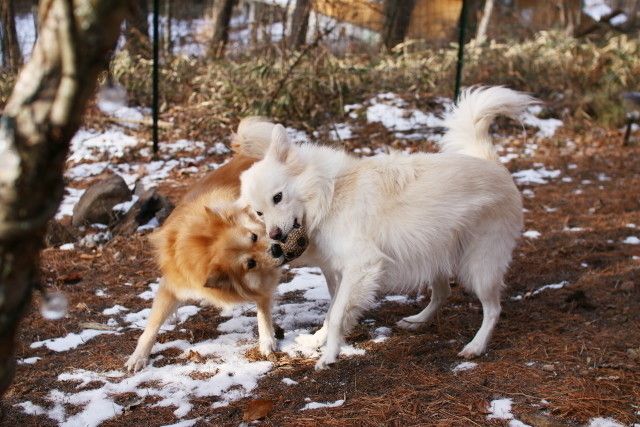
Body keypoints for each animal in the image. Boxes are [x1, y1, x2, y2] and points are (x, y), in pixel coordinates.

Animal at [125, 118, 294, 372]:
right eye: (250, 263)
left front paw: (267, 340)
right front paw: (139, 355)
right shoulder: (175, 282)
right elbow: (152, 324)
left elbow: (263, 308)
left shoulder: (265, 280)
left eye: (253, 237)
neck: (200, 246)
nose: (276, 250)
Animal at [239, 87, 535, 369]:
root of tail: (492, 163)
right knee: (444, 293)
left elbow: (336, 316)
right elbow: (332, 312)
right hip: (432, 253)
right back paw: (418, 320)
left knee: (493, 309)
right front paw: (317, 341)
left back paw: (476, 345)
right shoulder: (340, 272)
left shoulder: (362, 265)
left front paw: (329, 356)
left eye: (278, 197)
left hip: (480, 266)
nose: (276, 236)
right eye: (259, 212)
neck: (330, 192)